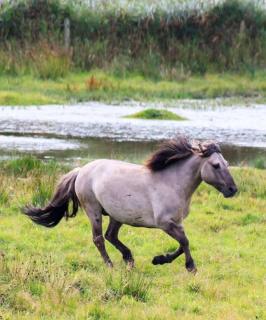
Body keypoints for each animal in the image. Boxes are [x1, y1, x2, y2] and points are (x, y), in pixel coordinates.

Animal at [23, 137, 238, 272]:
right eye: (216, 165)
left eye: (227, 164)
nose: (233, 190)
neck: (172, 183)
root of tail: (81, 170)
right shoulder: (166, 223)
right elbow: (185, 242)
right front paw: (190, 267)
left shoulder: (176, 223)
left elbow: (182, 242)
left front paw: (159, 260)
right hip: (94, 210)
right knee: (99, 239)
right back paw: (110, 266)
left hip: (117, 215)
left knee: (110, 236)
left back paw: (129, 259)